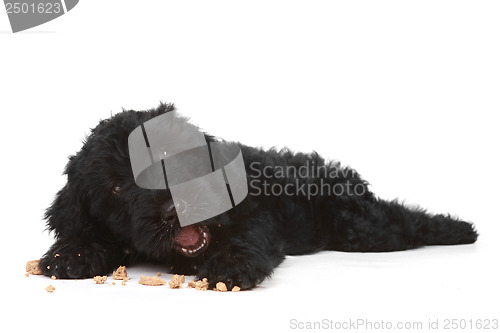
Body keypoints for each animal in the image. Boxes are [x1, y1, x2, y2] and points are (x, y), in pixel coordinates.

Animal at [39, 103, 476, 288]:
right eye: (116, 187)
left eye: (167, 157)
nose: (172, 208)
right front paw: (70, 254)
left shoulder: (255, 217)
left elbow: (244, 238)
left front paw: (231, 265)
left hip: (363, 228)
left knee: (404, 219)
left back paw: (460, 229)